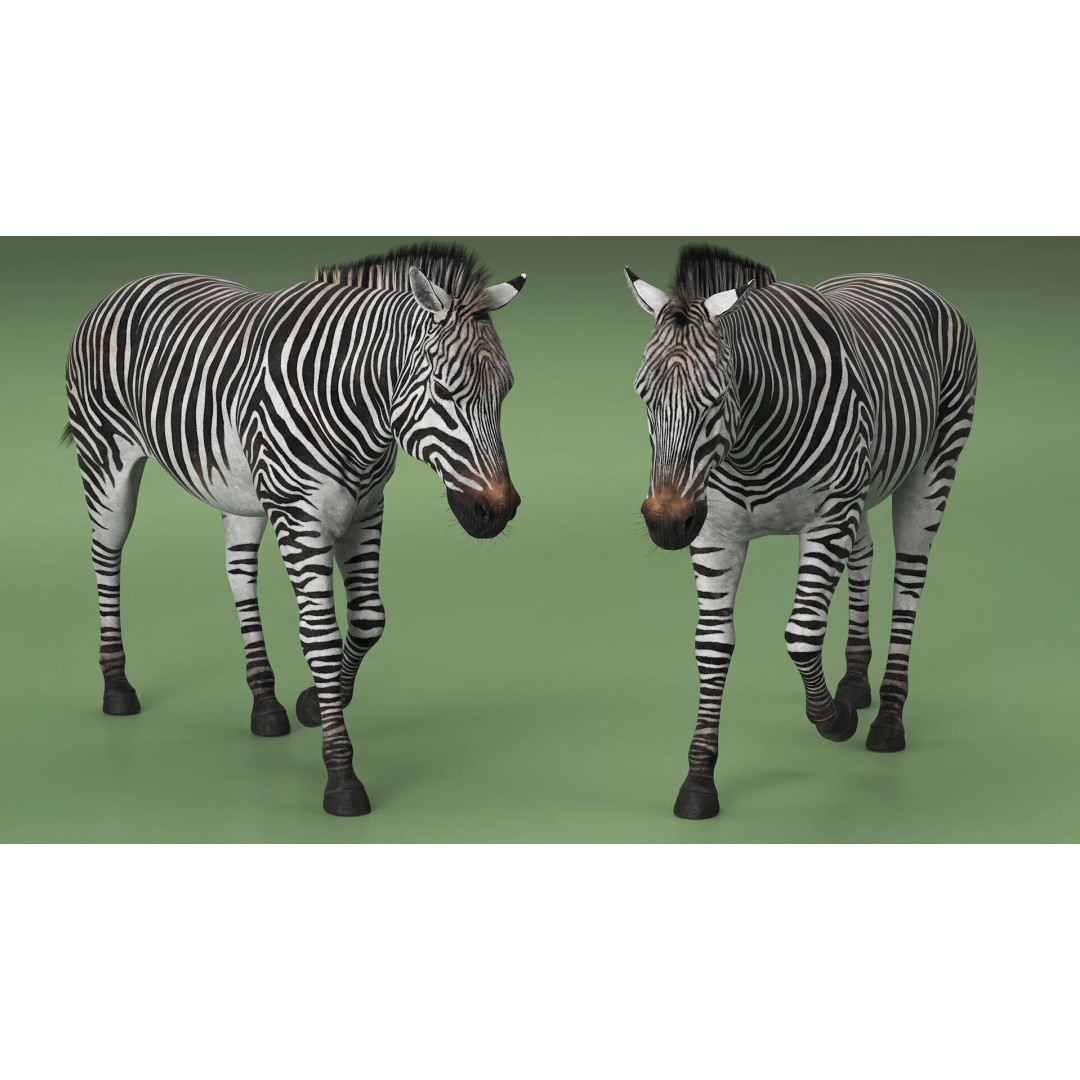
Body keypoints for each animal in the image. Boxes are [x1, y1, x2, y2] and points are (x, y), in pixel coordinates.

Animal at [63, 243, 527, 817]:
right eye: (443, 390)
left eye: (506, 390)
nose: (498, 511)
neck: (360, 415)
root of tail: (124, 286)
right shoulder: (300, 516)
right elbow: (320, 636)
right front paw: (341, 773)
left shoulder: (366, 510)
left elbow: (369, 619)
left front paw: (316, 702)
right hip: (106, 461)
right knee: (107, 556)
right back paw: (117, 688)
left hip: (239, 492)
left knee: (239, 576)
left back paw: (265, 703)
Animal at [625, 245, 977, 820]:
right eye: (644, 396)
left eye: (715, 398)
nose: (666, 522)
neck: (747, 447)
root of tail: (897, 276)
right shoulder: (716, 530)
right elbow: (712, 643)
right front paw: (699, 780)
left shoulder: (826, 519)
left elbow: (802, 633)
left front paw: (834, 721)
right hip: (860, 489)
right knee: (866, 555)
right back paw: (856, 683)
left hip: (933, 465)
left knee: (909, 581)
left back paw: (887, 719)